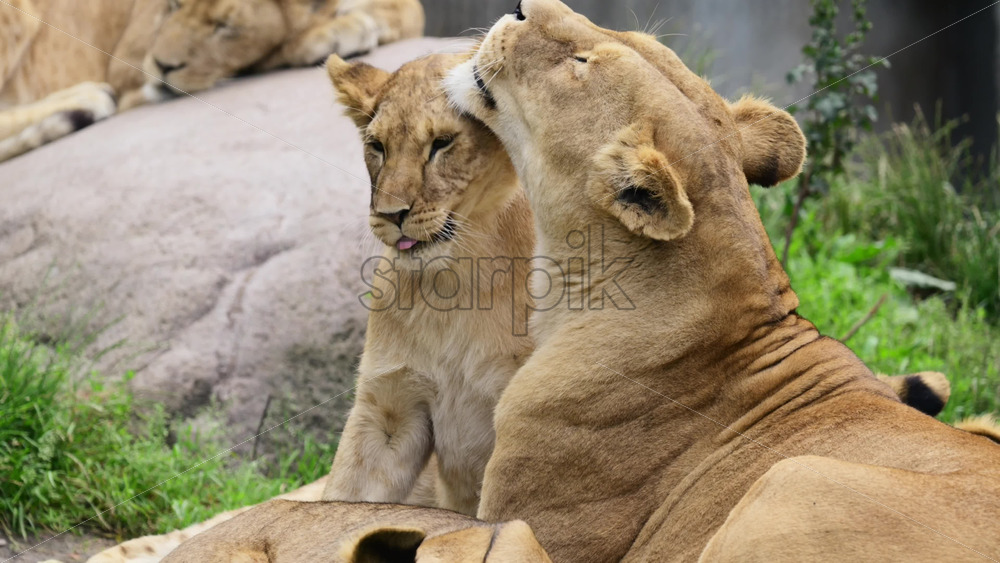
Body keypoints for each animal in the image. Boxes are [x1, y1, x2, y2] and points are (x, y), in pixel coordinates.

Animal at [0, 0, 424, 162]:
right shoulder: (125, 61)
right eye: (171, 3)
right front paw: (329, 33)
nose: (161, 65)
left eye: (224, 27)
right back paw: (88, 98)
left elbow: (413, 11)